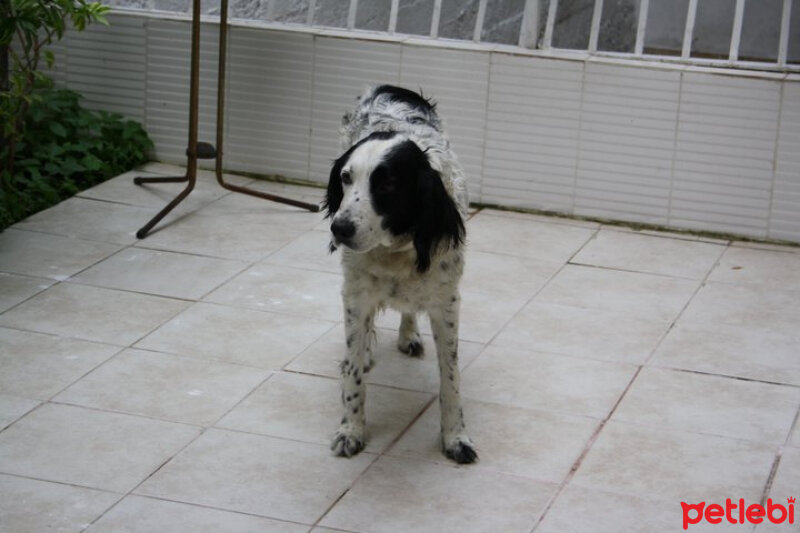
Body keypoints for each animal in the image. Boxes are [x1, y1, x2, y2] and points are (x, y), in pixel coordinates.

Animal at [324, 85, 476, 464]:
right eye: (345, 178)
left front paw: (455, 437)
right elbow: (353, 373)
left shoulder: (446, 301)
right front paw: (351, 430)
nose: (339, 229)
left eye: (387, 185)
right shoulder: (356, 294)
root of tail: (390, 87)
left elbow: (450, 379)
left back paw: (409, 335)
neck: (396, 247)